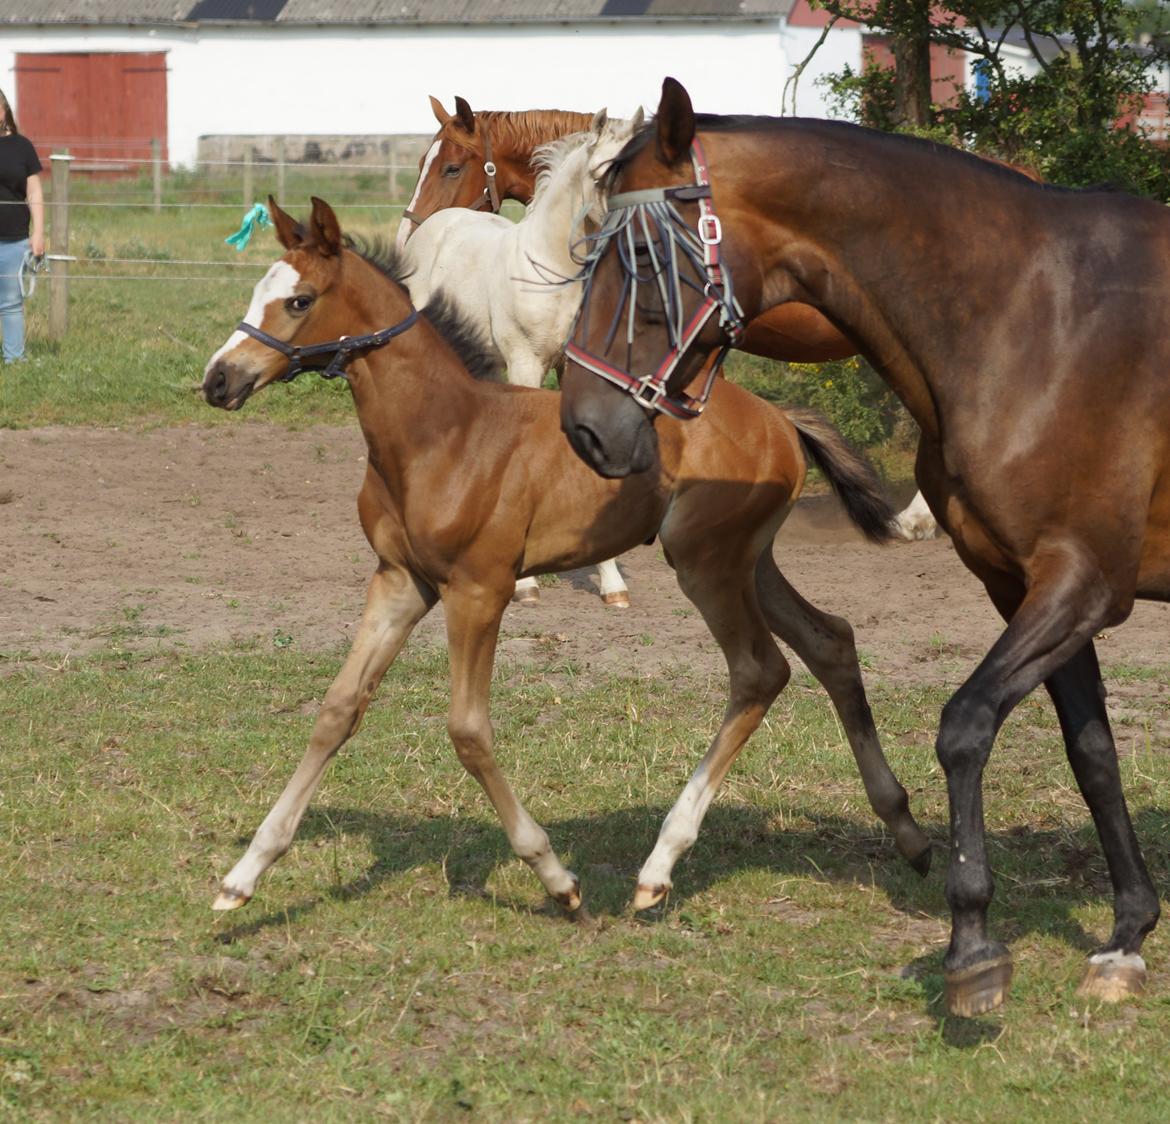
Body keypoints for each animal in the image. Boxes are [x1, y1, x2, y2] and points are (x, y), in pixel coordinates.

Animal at [201, 197, 931, 921]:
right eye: (259, 289)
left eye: (299, 301)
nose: (218, 379)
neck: (440, 432)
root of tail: (780, 420)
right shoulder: (400, 581)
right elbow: (337, 709)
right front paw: (243, 876)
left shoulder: (480, 588)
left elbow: (468, 730)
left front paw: (556, 878)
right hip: (748, 560)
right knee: (830, 640)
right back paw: (907, 832)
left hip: (705, 561)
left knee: (760, 671)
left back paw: (658, 867)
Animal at [556, 76, 1170, 1019]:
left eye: (642, 259)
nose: (585, 429)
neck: (1036, 319)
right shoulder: (1024, 582)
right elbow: (1092, 751)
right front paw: (1128, 932)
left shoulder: (1085, 582)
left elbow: (965, 726)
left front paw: (972, 943)